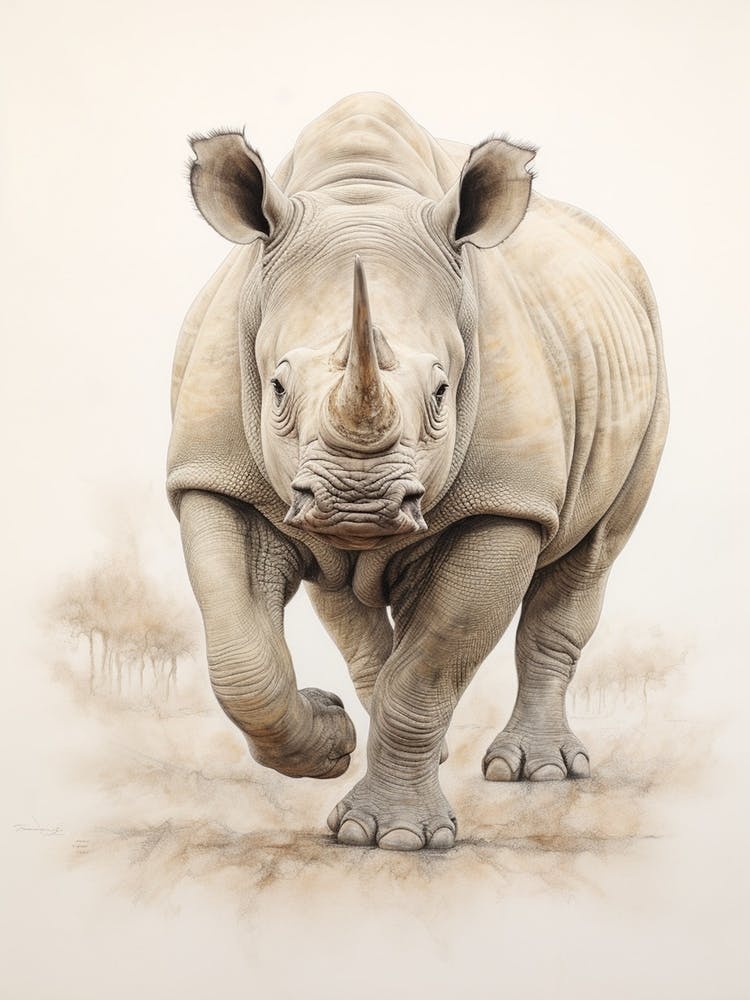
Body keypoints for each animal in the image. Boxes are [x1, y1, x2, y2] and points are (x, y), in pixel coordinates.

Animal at [167, 93, 668, 852]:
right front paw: (330, 736)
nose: (358, 502)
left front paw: (393, 837)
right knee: (346, 602)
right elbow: (242, 659)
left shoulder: (507, 501)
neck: (363, 192)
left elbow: (432, 666)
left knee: (591, 555)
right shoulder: (215, 474)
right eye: (277, 387)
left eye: (440, 392)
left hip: (646, 369)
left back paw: (538, 771)